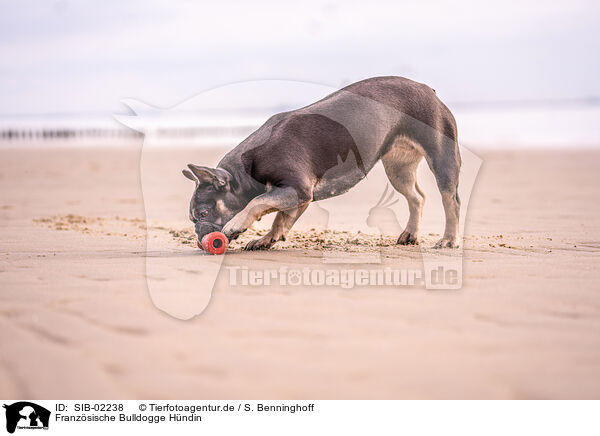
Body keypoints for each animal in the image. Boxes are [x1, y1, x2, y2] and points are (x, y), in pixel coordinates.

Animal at [183, 76, 464, 250]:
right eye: (193, 219)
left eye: (204, 214)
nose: (200, 238)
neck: (246, 169)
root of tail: (428, 90)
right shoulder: (298, 197)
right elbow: (280, 219)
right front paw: (268, 238)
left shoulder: (295, 189)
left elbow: (257, 202)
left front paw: (236, 225)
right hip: (398, 169)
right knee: (417, 197)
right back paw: (411, 233)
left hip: (442, 158)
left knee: (450, 200)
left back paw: (449, 239)